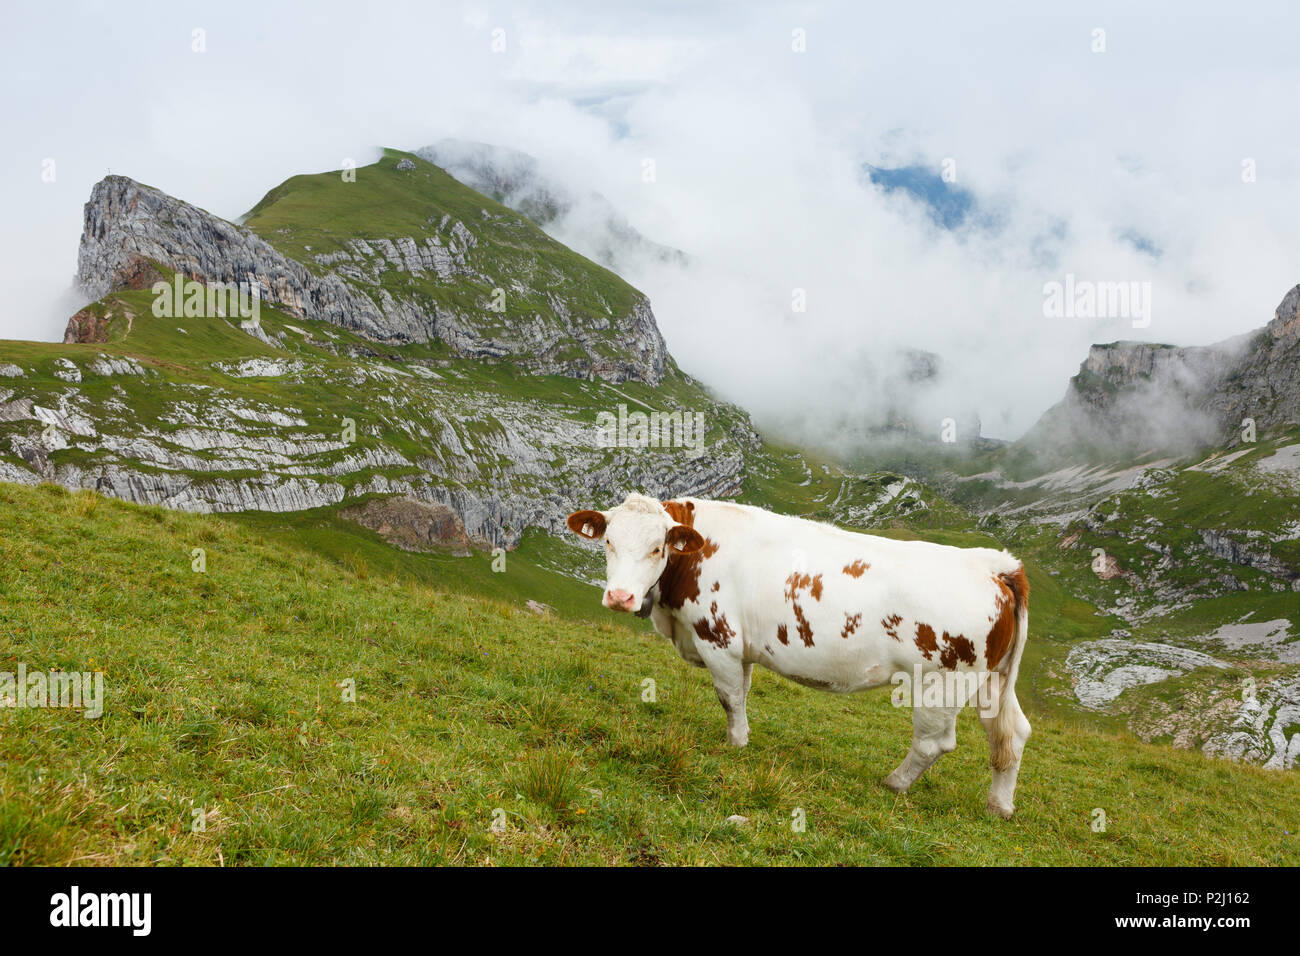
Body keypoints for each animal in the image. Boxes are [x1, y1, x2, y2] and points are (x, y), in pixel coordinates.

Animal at [569, 496, 1034, 816]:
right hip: (993, 681)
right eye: (608, 542)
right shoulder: (741, 649)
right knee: (1010, 735)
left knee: (934, 742)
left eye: (657, 549)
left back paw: (894, 782)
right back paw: (999, 806)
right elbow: (743, 691)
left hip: (942, 680)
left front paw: (736, 743)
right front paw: (741, 737)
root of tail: (994, 564)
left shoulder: (718, 637)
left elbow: (730, 697)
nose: (620, 596)